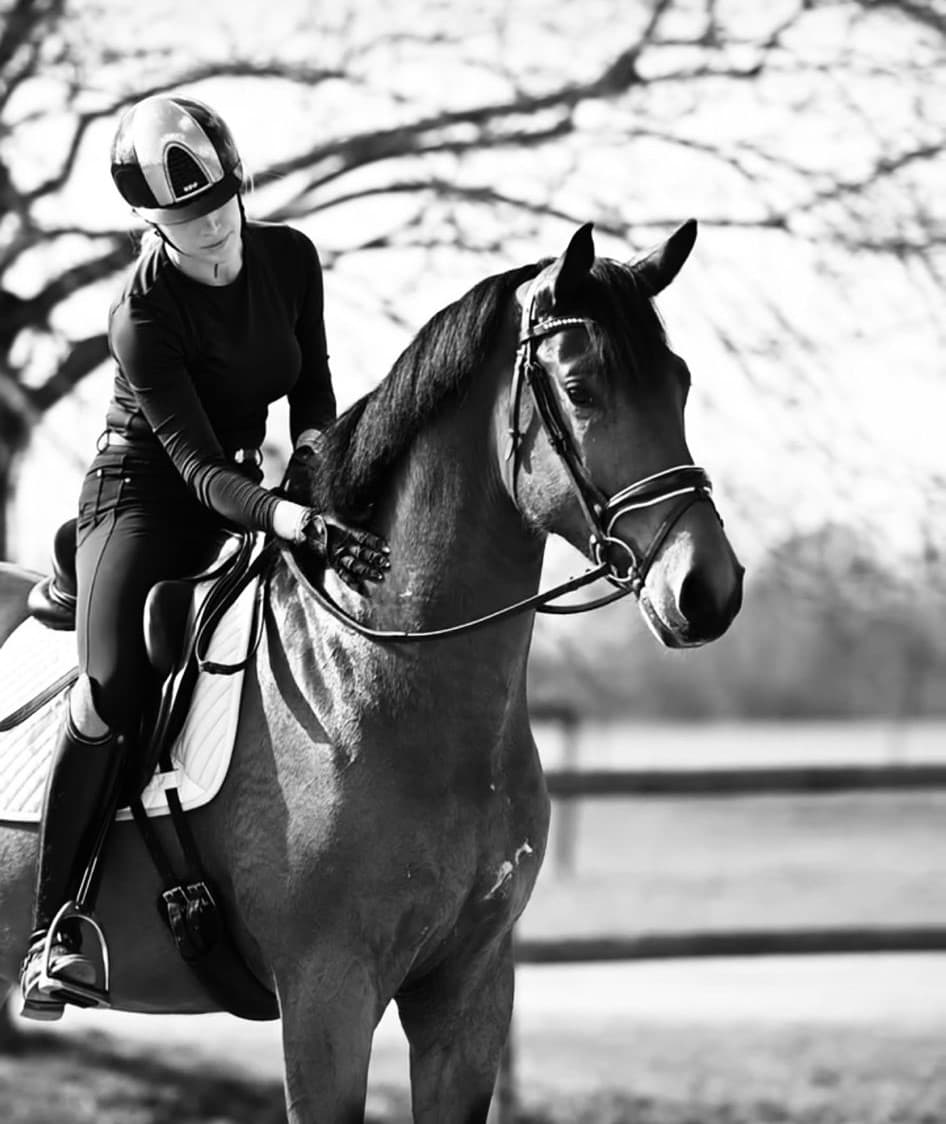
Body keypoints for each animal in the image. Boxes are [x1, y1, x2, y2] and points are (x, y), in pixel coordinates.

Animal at [0, 220, 743, 1123]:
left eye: (680, 382)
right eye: (581, 386)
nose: (706, 589)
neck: (380, 667)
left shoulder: (469, 992)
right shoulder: (328, 995)